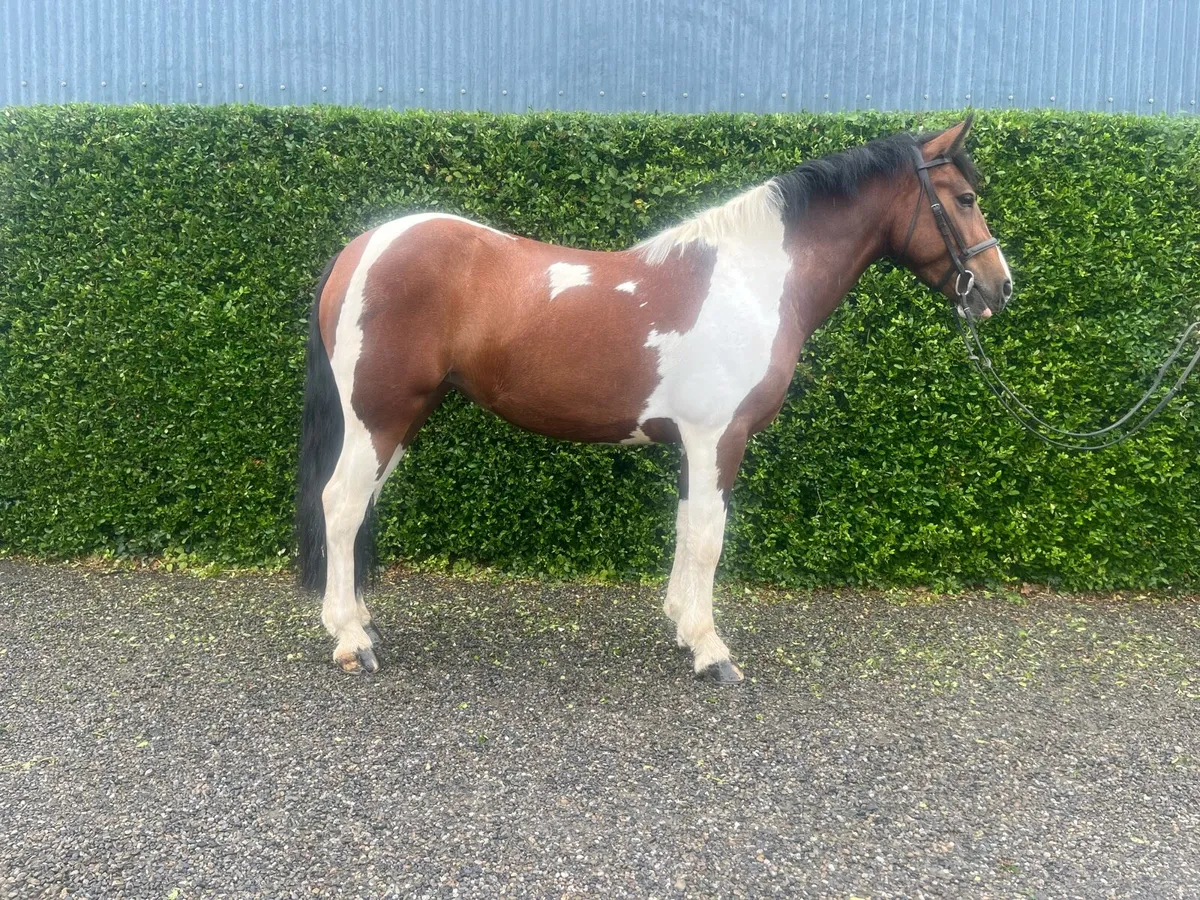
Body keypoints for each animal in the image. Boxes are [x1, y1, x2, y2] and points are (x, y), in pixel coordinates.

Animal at [296, 117, 1013, 684]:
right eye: (965, 198)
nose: (999, 288)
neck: (751, 282)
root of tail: (360, 250)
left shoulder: (696, 441)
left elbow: (687, 524)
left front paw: (681, 625)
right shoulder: (720, 437)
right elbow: (710, 535)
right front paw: (711, 651)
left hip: (399, 419)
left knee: (358, 506)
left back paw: (363, 622)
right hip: (379, 416)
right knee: (340, 505)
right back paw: (350, 640)